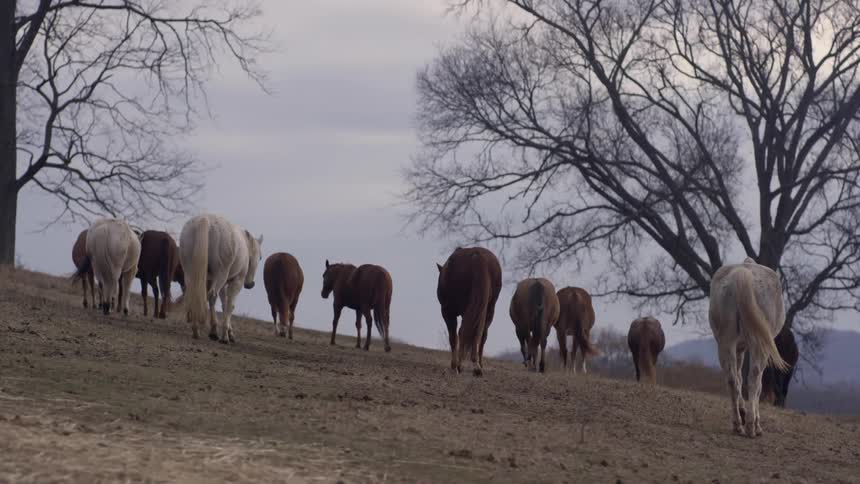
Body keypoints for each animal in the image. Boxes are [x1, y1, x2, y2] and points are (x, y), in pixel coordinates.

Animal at [179, 214, 262, 343]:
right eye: (260, 257)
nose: (250, 284)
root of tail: (205, 220)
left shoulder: (222, 284)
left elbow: (224, 305)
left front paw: (229, 332)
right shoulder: (236, 282)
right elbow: (230, 305)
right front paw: (226, 335)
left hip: (190, 273)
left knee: (193, 295)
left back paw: (196, 329)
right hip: (220, 276)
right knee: (212, 296)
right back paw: (214, 332)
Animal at [436, 247, 502, 376]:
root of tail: (477, 257)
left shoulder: (447, 312)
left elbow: (454, 337)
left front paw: (455, 365)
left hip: (454, 311)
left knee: (462, 333)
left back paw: (460, 366)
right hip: (487, 310)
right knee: (479, 333)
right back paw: (475, 366)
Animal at [709, 258, 788, 438]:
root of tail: (742, 274)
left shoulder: (739, 348)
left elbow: (738, 377)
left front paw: (743, 411)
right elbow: (757, 386)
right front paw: (753, 420)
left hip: (725, 343)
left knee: (732, 380)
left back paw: (738, 425)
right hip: (760, 346)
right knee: (754, 378)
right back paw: (753, 427)